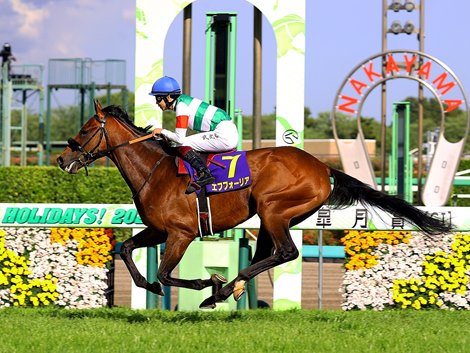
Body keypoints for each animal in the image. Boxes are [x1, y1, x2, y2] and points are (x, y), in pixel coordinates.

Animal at [57, 102, 454, 308]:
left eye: (86, 129)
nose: (62, 159)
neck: (156, 172)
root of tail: (322, 166)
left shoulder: (181, 233)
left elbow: (167, 273)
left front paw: (204, 283)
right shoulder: (158, 230)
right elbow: (126, 249)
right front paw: (152, 288)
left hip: (273, 207)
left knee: (286, 252)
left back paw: (221, 290)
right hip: (274, 215)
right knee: (270, 252)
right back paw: (229, 289)